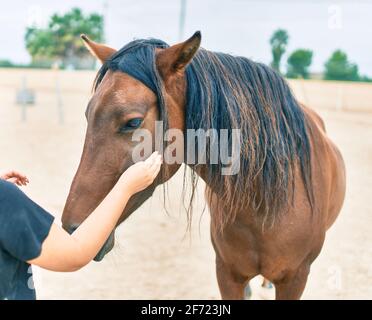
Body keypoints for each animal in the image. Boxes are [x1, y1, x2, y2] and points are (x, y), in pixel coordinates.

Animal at [61, 31, 346, 298]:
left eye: (133, 122)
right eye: (88, 115)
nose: (72, 231)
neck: (265, 202)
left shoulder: (295, 279)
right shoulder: (227, 274)